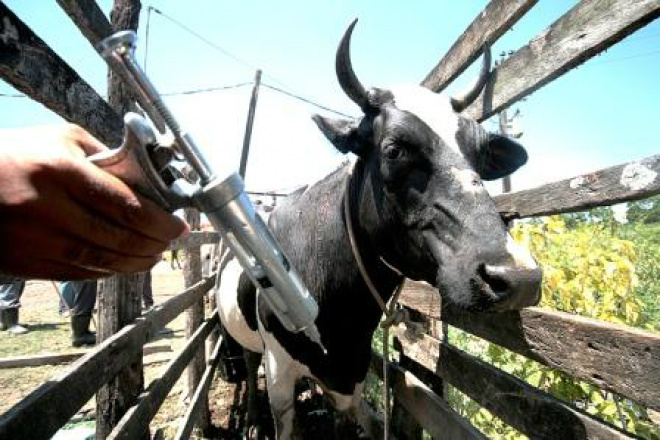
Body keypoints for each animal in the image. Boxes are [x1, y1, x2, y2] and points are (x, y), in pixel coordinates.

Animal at [217, 20, 540, 440]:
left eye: (482, 156)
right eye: (394, 149)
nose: (519, 277)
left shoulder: (351, 375)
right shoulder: (279, 372)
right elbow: (284, 421)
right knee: (248, 363)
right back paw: (253, 420)